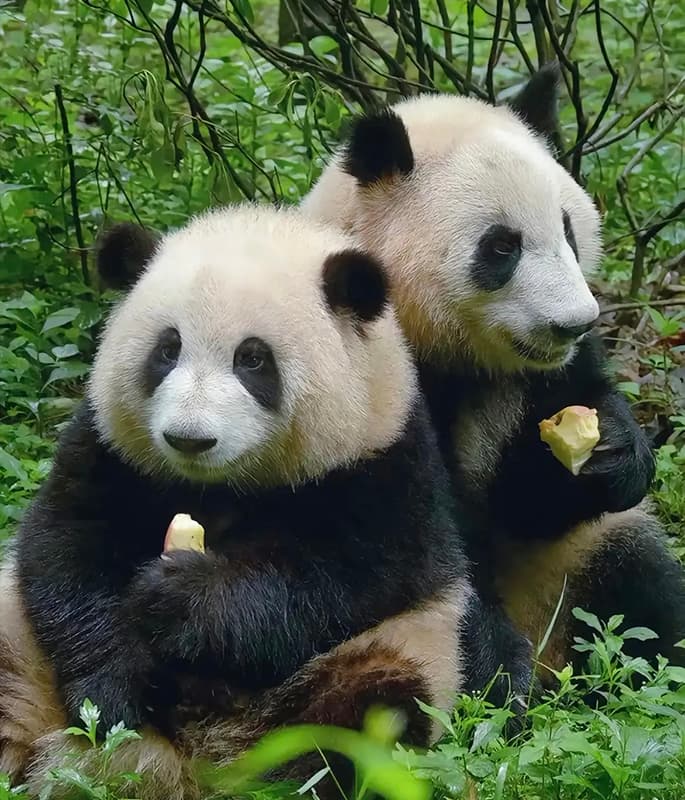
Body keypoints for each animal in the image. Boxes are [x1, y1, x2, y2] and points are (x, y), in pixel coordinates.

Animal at [0, 206, 533, 800]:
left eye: (252, 359)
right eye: (167, 349)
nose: (189, 438)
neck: (221, 485)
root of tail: (192, 760)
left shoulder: (386, 463)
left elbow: (340, 578)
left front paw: (181, 596)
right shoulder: (109, 448)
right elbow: (67, 547)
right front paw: (114, 696)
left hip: (397, 653)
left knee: (373, 711)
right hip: (20, 659)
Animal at [301, 64, 685, 682]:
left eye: (568, 230)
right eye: (502, 246)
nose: (574, 324)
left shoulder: (541, 378)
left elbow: (530, 497)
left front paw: (612, 449)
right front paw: (495, 665)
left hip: (582, 560)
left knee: (641, 585)